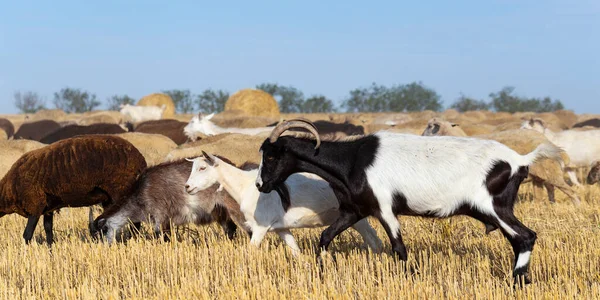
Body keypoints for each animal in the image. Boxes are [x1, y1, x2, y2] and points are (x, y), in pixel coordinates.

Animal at [0, 135, 146, 244]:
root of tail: (140, 159)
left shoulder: (34, 205)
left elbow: (27, 234)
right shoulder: (48, 208)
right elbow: (48, 231)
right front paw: (50, 251)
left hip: (121, 191)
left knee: (134, 220)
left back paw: (132, 239)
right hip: (110, 199)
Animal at [255, 119, 564, 284]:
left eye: (271, 156)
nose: (260, 184)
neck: (353, 161)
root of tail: (520, 160)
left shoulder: (384, 208)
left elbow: (399, 249)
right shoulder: (354, 210)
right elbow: (325, 237)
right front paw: (322, 272)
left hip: (495, 208)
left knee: (525, 237)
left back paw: (517, 282)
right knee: (519, 240)